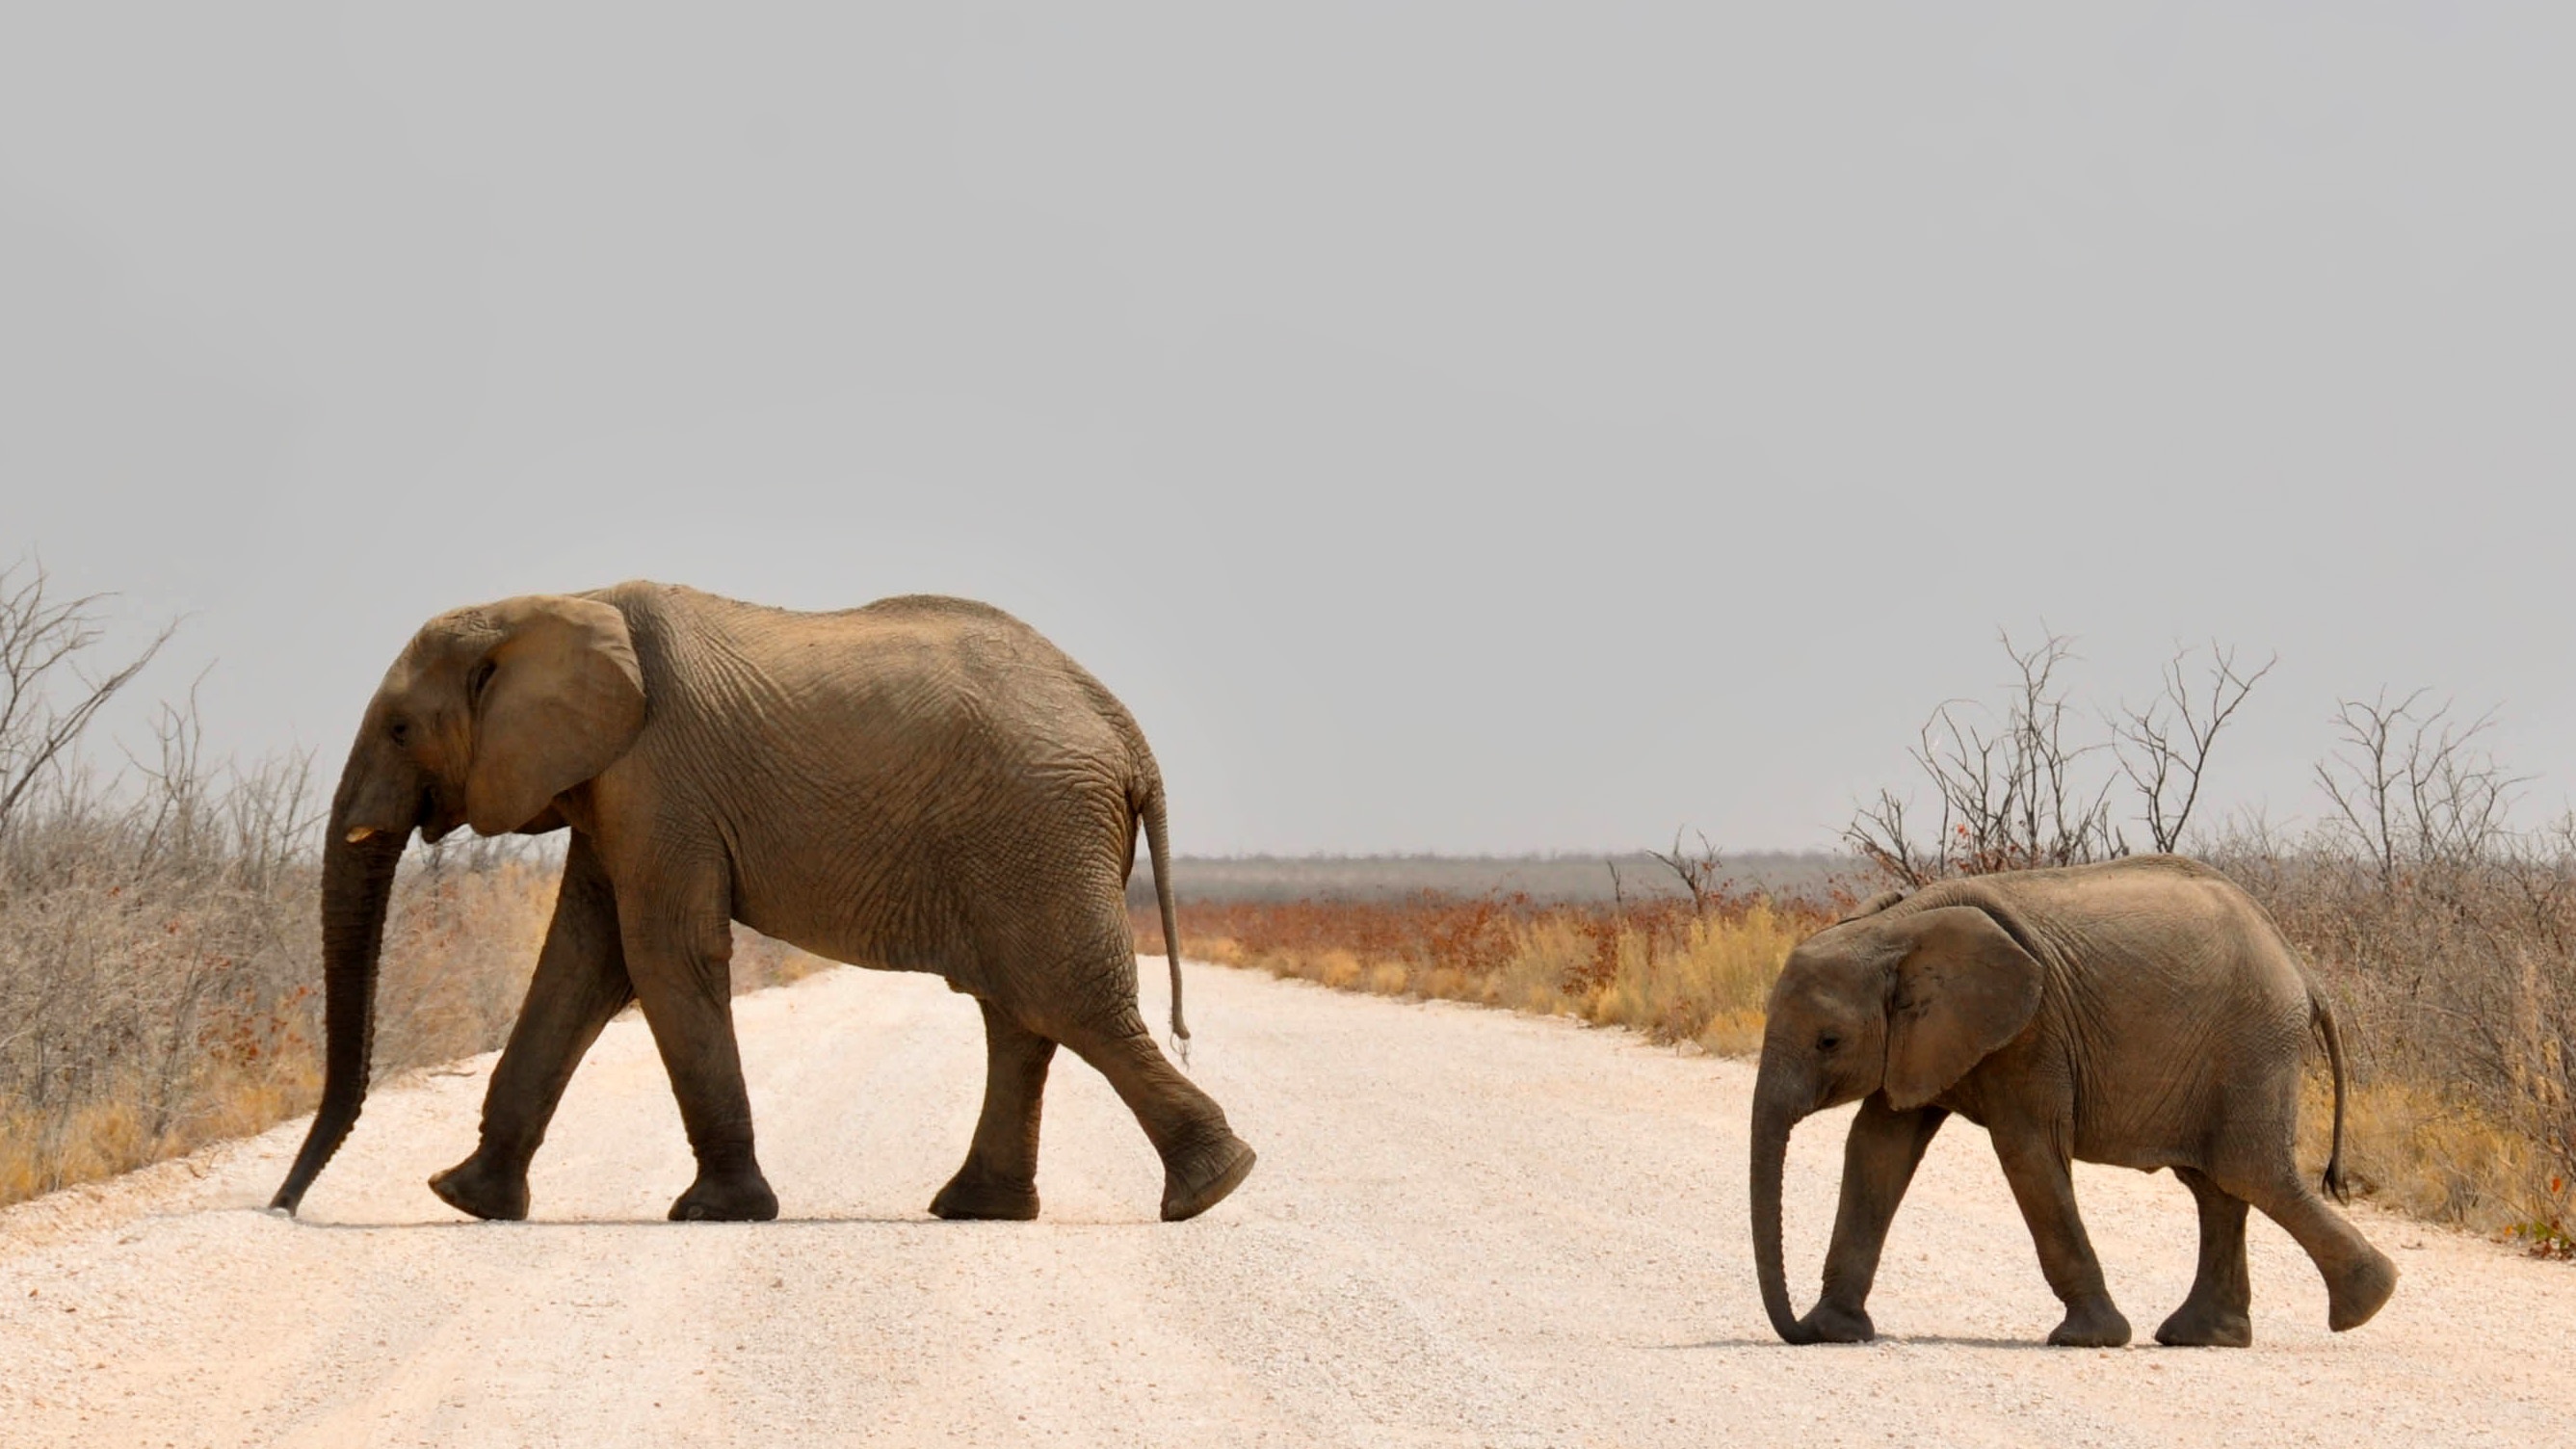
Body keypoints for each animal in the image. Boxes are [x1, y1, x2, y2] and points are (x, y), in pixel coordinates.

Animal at [272, 580, 1256, 1222]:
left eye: (402, 728)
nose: (281, 1208)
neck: (553, 603)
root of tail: (1127, 734)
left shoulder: (658, 778)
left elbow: (660, 956)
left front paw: (717, 1212)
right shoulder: (612, 787)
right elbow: (583, 964)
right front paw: (467, 1200)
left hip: (1038, 825)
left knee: (1064, 1000)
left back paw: (1212, 1188)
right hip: (1033, 836)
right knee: (1021, 1013)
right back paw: (984, 1208)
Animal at [1751, 856, 2390, 1340]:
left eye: (1829, 1042)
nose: (1796, 1330)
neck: (1898, 928)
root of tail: (2304, 972)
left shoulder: (2032, 1031)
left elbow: (2027, 1153)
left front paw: (2089, 1339)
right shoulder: (1924, 1040)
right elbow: (1877, 1149)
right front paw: (1835, 1330)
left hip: (2252, 1045)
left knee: (2250, 1172)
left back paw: (2367, 1302)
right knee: (2218, 1186)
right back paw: (2204, 1336)